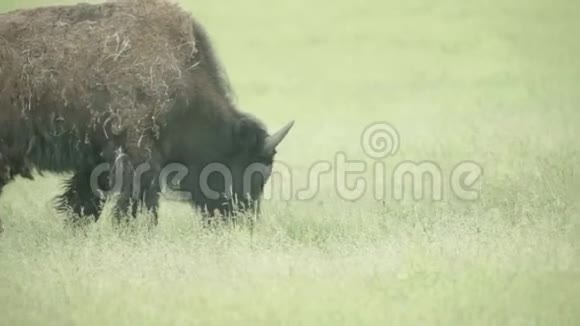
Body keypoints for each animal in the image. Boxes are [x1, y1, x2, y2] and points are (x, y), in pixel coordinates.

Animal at [0, 0, 292, 228]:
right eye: (252, 170)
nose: (241, 222)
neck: (183, 75)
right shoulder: (138, 153)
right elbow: (138, 201)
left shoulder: (98, 158)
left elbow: (86, 202)